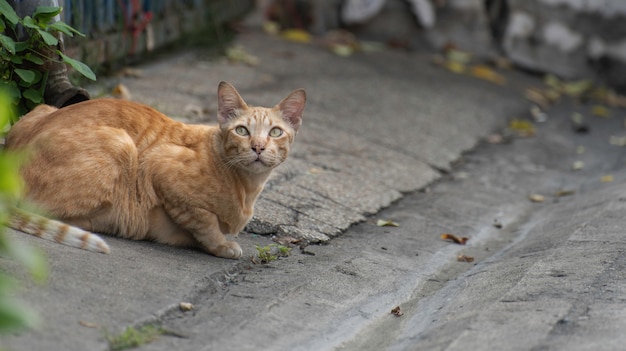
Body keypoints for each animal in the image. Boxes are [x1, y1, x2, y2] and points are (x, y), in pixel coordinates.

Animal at [4, 82, 308, 258]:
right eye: (242, 130)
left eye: (276, 132)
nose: (258, 147)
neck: (248, 187)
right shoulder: (159, 165)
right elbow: (204, 220)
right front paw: (221, 246)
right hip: (121, 143)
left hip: (43, 109)